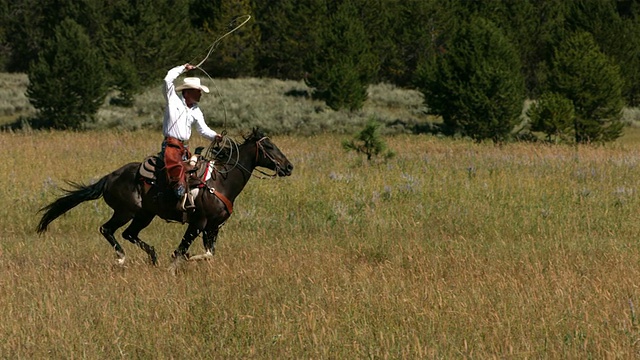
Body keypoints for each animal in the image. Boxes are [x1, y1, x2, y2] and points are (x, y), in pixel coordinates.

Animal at [37, 127, 292, 268]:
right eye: (269, 147)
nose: (289, 167)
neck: (220, 181)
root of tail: (110, 177)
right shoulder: (197, 224)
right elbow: (180, 251)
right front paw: (182, 261)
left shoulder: (214, 227)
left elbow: (209, 254)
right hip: (126, 212)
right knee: (107, 229)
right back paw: (121, 258)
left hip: (145, 215)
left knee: (129, 234)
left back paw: (152, 256)